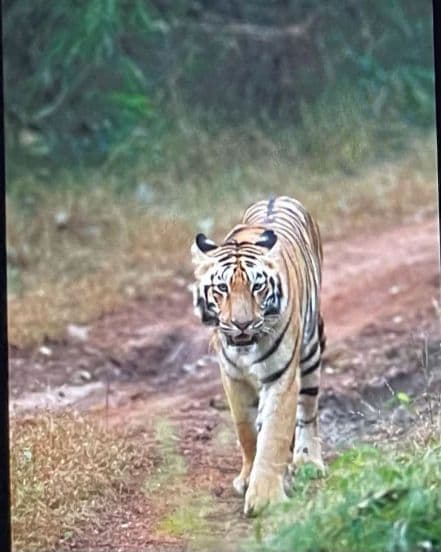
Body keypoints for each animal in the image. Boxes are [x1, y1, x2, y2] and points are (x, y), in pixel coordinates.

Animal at [191, 196, 324, 516]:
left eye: (257, 287)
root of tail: (278, 196)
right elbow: (248, 431)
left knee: (308, 411)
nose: (242, 324)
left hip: (310, 352)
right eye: (222, 288)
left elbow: (273, 434)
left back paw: (307, 461)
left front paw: (265, 498)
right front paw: (248, 478)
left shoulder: (281, 377)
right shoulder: (233, 378)